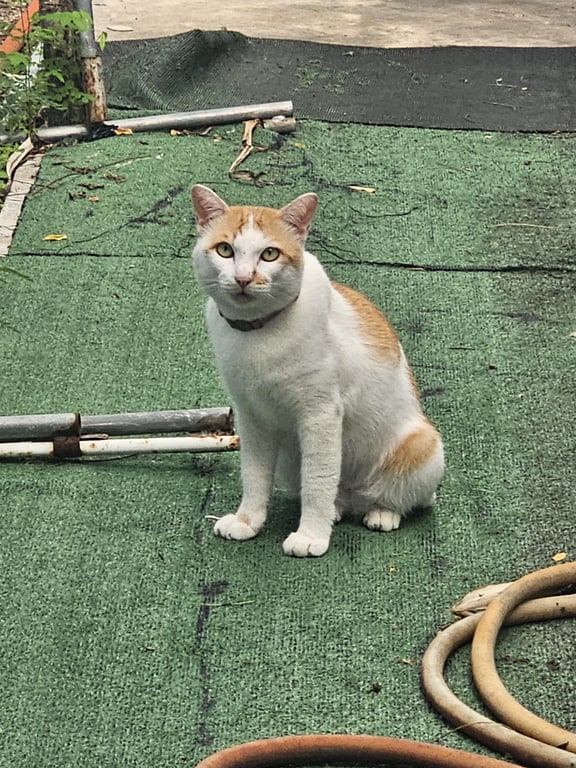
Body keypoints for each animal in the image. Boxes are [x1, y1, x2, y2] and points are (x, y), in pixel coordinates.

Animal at [191, 184, 444, 557]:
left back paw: (381, 513)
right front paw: (247, 521)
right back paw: (337, 510)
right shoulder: (251, 417)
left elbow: (317, 482)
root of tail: (354, 499)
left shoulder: (320, 414)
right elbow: (253, 475)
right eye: (225, 250)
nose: (243, 278)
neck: (258, 334)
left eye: (269, 254)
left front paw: (310, 536)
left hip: (424, 445)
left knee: (406, 498)